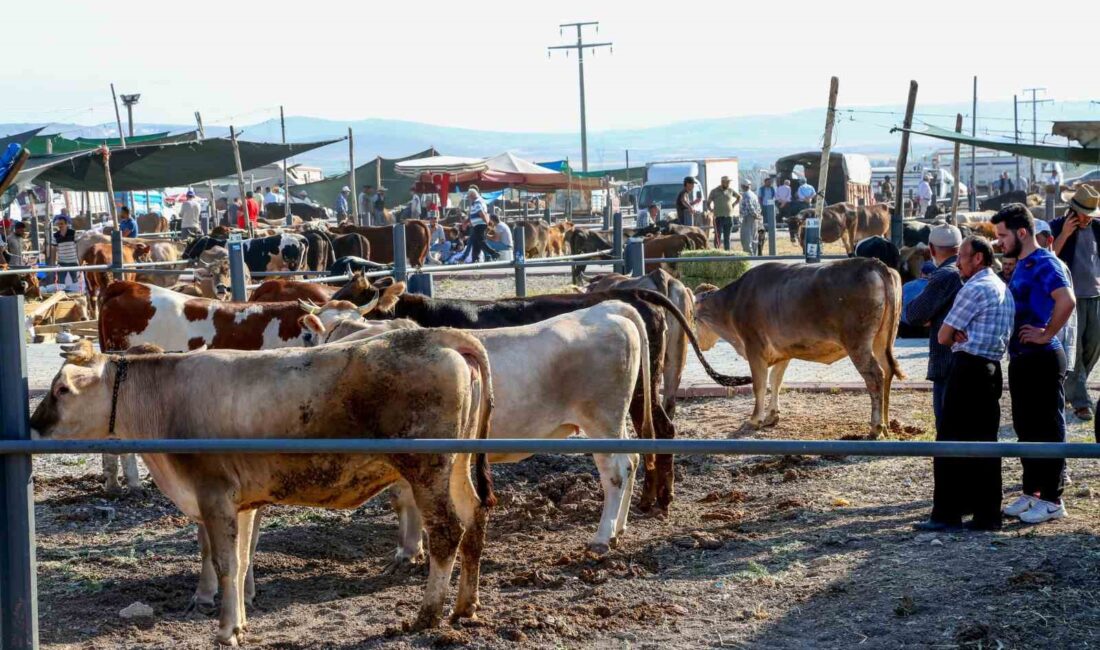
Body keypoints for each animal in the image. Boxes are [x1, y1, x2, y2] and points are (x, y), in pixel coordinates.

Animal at [31, 332, 495, 646]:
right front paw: (238, 622)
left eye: (61, 389)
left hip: (427, 469)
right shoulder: (242, 502)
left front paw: (224, 631)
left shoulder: (214, 494)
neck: (165, 400)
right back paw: (464, 607)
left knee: (447, 530)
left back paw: (427, 615)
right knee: (475, 515)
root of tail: (434, 336)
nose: (34, 425)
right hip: (456, 466)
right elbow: (241, 560)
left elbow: (225, 563)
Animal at [695, 258, 902, 437]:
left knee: (875, 376)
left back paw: (876, 428)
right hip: (882, 340)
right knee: (888, 370)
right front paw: (772, 416)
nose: (699, 343)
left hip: (858, 343)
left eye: (694, 317)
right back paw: (886, 424)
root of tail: (872, 263)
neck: (733, 302)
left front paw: (754, 420)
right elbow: (775, 381)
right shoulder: (783, 350)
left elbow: (759, 385)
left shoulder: (754, 347)